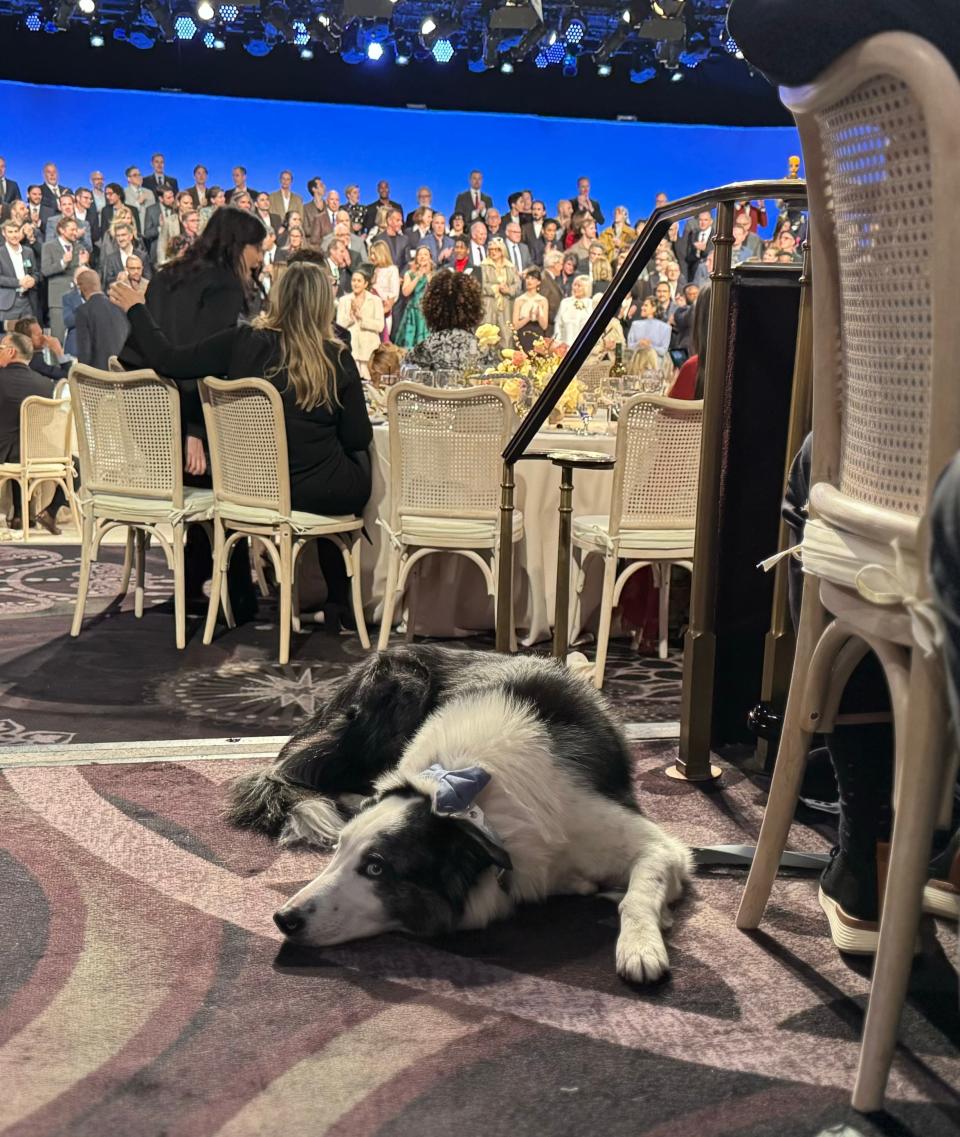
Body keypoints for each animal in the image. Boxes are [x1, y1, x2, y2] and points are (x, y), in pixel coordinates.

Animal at [226, 645, 691, 982]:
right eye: (338, 853)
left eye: (376, 868)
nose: (283, 919)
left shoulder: (658, 846)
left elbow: (639, 892)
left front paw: (640, 947)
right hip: (400, 687)